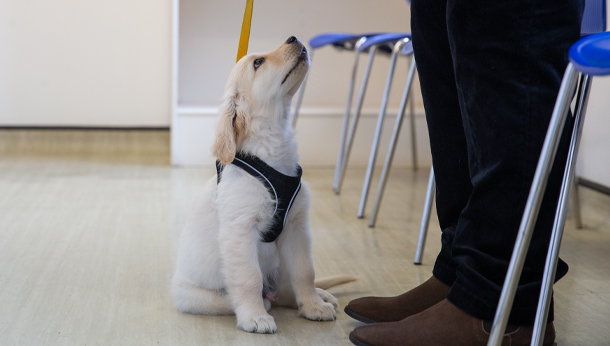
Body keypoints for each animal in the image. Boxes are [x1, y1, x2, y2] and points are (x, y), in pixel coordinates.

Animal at [171, 36, 354, 334]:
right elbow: (249, 278)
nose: (294, 38)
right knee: (255, 296)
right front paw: (255, 317)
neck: (272, 153)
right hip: (191, 296)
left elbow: (305, 272)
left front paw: (312, 305)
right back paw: (263, 304)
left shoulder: (296, 227)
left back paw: (321, 296)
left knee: (284, 289)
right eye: (258, 62)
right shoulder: (240, 231)